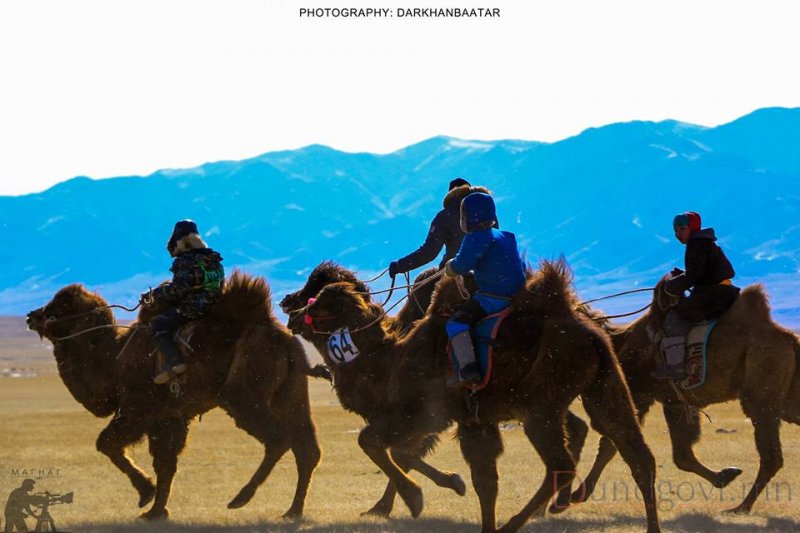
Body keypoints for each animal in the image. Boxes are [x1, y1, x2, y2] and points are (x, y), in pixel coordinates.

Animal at [26, 270, 324, 520]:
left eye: (60, 307)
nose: (31, 315)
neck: (114, 359)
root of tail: (283, 338)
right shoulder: (170, 417)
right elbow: (165, 463)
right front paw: (156, 511)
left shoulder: (138, 410)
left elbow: (107, 443)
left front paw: (145, 493)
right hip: (292, 394)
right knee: (307, 449)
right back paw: (292, 511)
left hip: (243, 398)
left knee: (278, 439)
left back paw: (240, 498)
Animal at [296, 260, 660, 528]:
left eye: (318, 299)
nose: (292, 311)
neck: (391, 361)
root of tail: (591, 331)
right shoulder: (474, 422)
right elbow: (485, 482)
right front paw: (454, 490)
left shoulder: (424, 413)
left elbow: (372, 441)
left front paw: (415, 498)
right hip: (605, 386)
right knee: (637, 456)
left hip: (540, 407)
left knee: (563, 462)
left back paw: (520, 520)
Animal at [568, 280, 800, 512]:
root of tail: (790, 339)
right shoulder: (674, 401)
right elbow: (682, 455)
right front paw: (724, 475)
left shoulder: (640, 394)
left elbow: (611, 444)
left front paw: (578, 493)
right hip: (783, 397)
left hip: (761, 392)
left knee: (771, 457)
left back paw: (741, 506)